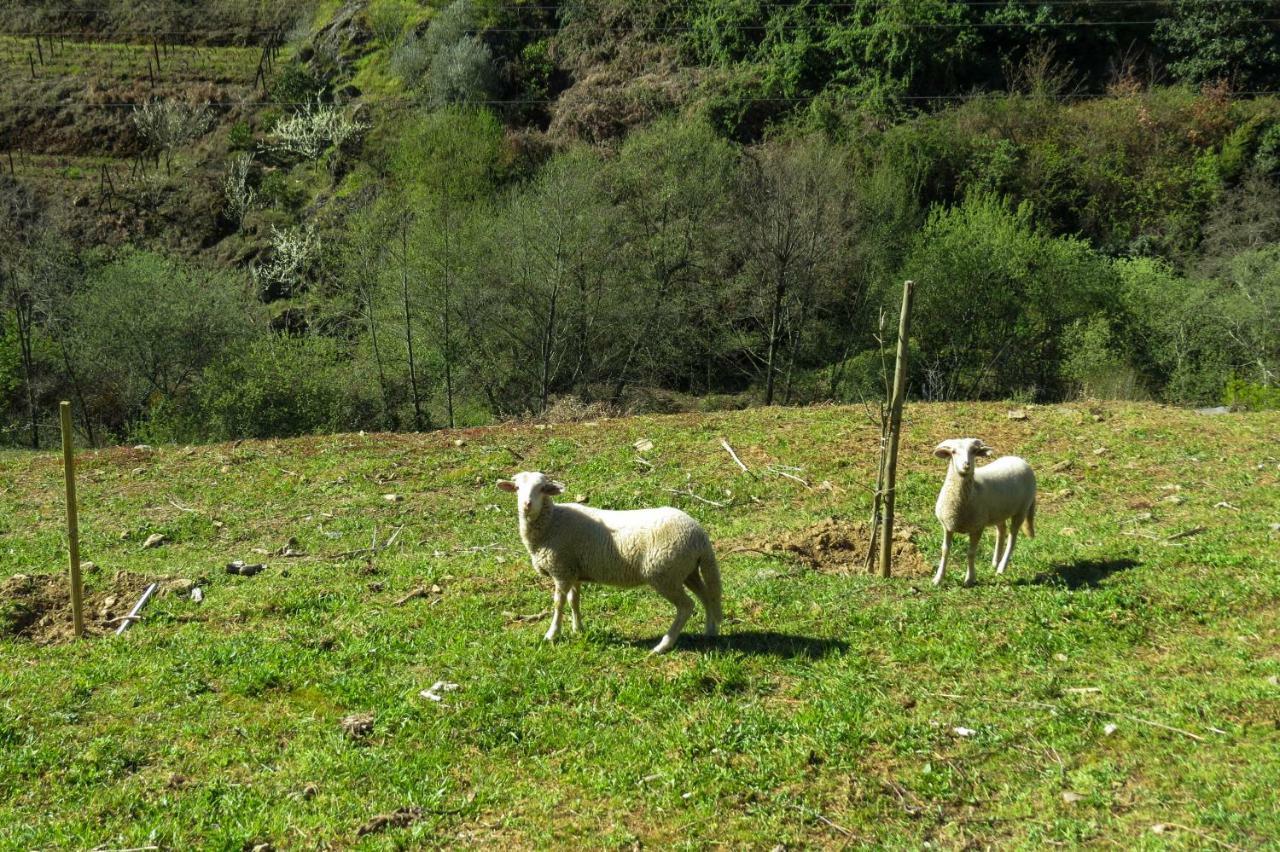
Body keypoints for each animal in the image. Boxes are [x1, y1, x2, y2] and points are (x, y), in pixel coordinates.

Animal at [496, 468, 721, 652]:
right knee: (707, 596)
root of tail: (700, 536)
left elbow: (558, 604)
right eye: (517, 488)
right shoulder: (574, 570)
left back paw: (663, 645)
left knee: (686, 606)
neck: (552, 522)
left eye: (542, 488)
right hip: (687, 571)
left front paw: (552, 634)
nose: (526, 505)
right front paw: (578, 629)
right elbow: (574, 601)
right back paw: (710, 632)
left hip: (664, 574)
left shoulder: (561, 570)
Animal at [931, 437, 1039, 583]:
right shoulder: (947, 525)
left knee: (1012, 539)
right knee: (1001, 530)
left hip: (1021, 510)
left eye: (974, 451)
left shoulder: (977, 527)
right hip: (998, 512)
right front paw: (938, 579)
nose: (966, 465)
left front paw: (970, 579)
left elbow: (971, 553)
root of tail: (1021, 460)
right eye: (953, 452)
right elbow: (945, 550)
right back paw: (995, 562)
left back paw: (1001, 567)